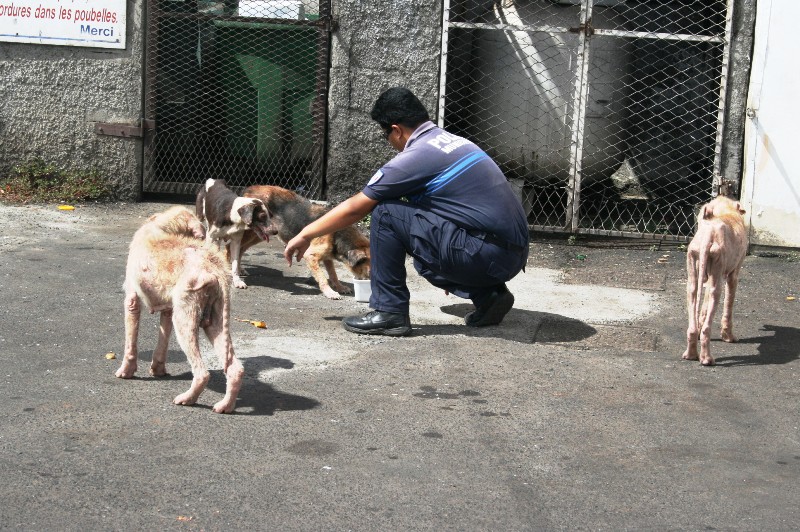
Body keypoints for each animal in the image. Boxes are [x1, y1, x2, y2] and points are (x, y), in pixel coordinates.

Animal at [116, 206, 244, 414]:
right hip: (215, 321)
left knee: (202, 372)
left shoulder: (132, 300)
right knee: (235, 368)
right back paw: (226, 405)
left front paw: (126, 371)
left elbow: (131, 343)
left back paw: (188, 398)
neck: (160, 226)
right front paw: (158, 369)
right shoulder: (168, 310)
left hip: (185, 319)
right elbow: (162, 341)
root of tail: (214, 269)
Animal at [231, 185, 368, 300]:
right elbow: (323, 277)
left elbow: (333, 274)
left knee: (241, 249)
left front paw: (339, 287)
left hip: (262, 233)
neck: (340, 234)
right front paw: (330, 292)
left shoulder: (327, 258)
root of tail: (249, 188)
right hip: (253, 231)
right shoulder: (311, 256)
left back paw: (240, 269)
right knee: (237, 248)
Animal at [680, 195, 752, 366]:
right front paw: (728, 336)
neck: (725, 211)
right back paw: (706, 358)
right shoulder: (733, 275)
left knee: (693, 298)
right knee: (709, 320)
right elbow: (728, 306)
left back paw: (691, 353)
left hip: (693, 270)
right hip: (718, 272)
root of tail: (708, 232)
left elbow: (703, 308)